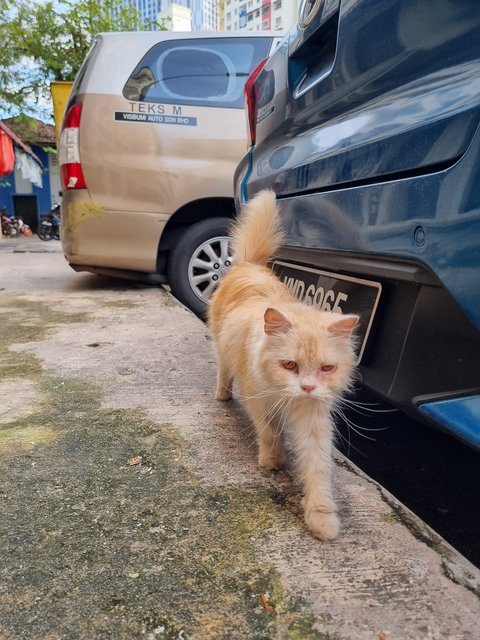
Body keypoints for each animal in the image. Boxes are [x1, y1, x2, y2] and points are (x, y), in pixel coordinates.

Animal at [208, 190, 358, 540]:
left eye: (327, 369)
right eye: (289, 365)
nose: (307, 387)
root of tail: (250, 265)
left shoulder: (313, 416)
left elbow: (317, 468)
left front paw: (322, 519)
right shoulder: (260, 401)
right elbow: (269, 432)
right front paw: (272, 460)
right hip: (221, 349)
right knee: (223, 372)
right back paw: (222, 396)